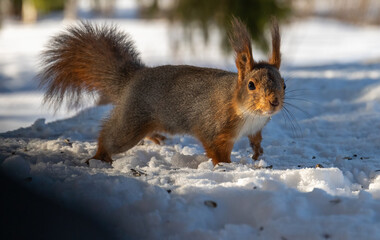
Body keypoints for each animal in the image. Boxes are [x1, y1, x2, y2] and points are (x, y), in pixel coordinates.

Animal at [39, 18, 284, 165]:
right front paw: (225, 166)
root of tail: (132, 78)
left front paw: (258, 153)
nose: (274, 102)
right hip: (132, 121)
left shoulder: (256, 128)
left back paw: (155, 137)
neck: (249, 113)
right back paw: (101, 156)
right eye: (251, 85)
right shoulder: (214, 128)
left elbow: (256, 139)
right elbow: (216, 149)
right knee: (111, 137)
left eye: (284, 84)